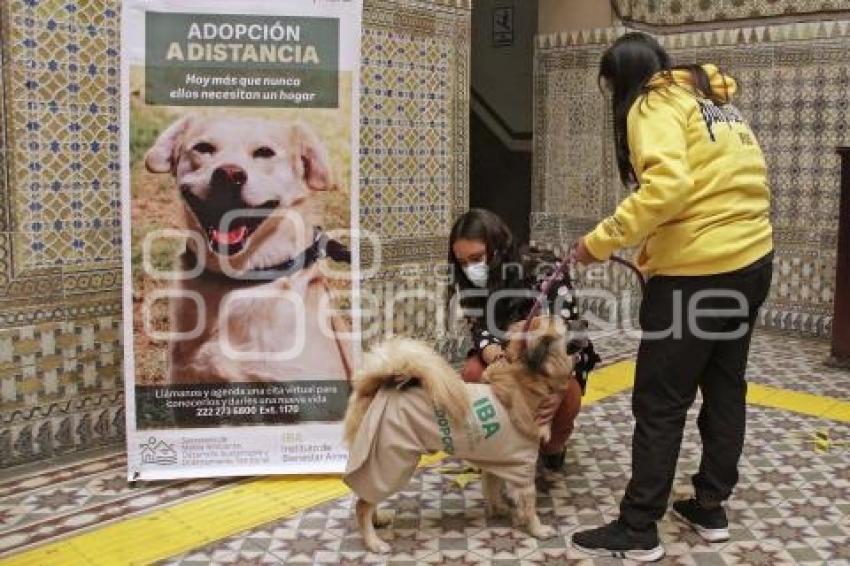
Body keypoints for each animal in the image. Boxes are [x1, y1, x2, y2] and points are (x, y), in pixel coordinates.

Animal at [342, 318, 572, 556]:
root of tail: (373, 389)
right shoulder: (522, 467)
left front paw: (499, 509)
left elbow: (492, 488)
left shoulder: (499, 460)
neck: (523, 378)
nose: (575, 319)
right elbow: (529, 504)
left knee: (367, 496)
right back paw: (373, 542)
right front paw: (537, 528)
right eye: (562, 323)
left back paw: (377, 521)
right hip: (391, 462)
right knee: (362, 506)